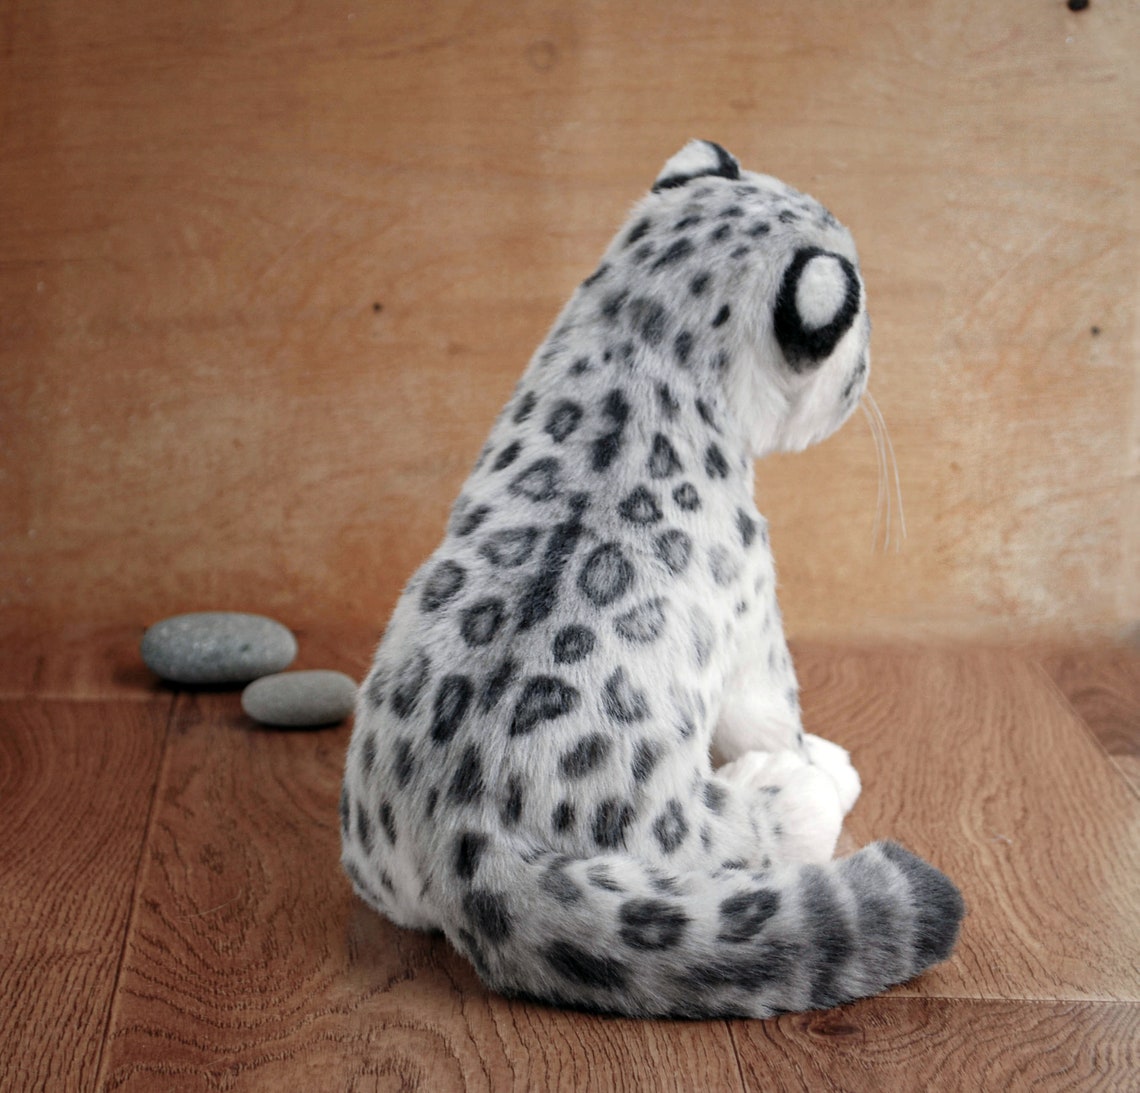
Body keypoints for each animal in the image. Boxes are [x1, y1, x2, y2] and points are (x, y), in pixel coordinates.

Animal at [340, 140, 964, 1018]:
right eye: (858, 319)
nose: (871, 361)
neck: (639, 337)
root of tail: (463, 834)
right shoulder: (757, 613)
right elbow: (774, 704)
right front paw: (807, 747)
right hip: (696, 836)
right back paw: (812, 781)